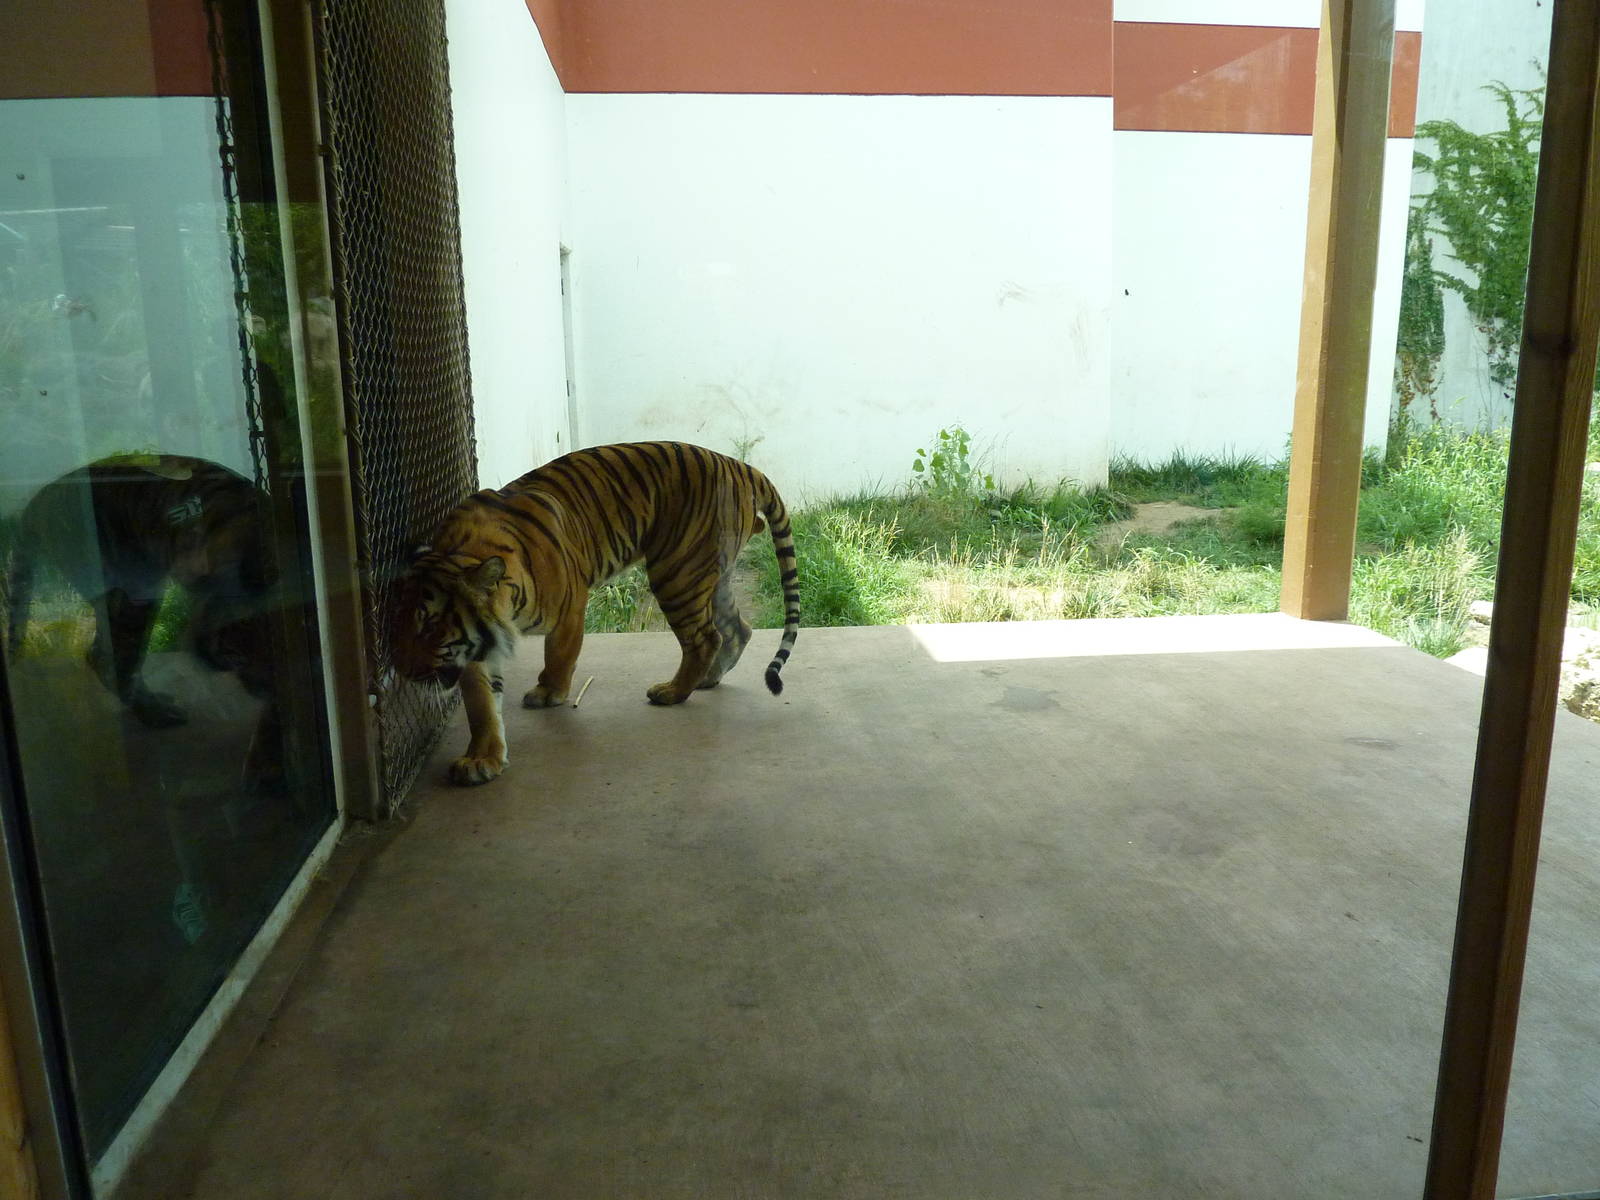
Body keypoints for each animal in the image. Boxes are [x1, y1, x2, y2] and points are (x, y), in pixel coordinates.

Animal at [389, 441, 801, 786]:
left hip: (677, 572)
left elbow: (559, 655)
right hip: (713, 575)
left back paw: (673, 692)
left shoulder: (570, 605)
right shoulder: (476, 644)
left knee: (706, 636)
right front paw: (481, 759)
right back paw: (708, 678)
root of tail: (737, 463)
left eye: (429, 626)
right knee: (738, 628)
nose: (403, 671)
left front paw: (549, 692)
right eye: (398, 624)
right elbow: (481, 704)